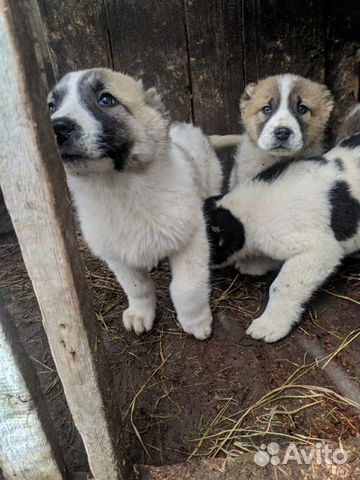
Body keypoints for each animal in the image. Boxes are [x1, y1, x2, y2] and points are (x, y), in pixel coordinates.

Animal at [48, 67, 236, 340]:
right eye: (51, 106)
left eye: (106, 99)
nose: (57, 127)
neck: (119, 190)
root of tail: (193, 129)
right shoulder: (117, 255)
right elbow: (137, 287)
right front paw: (140, 313)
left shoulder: (191, 238)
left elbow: (187, 287)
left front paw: (196, 321)